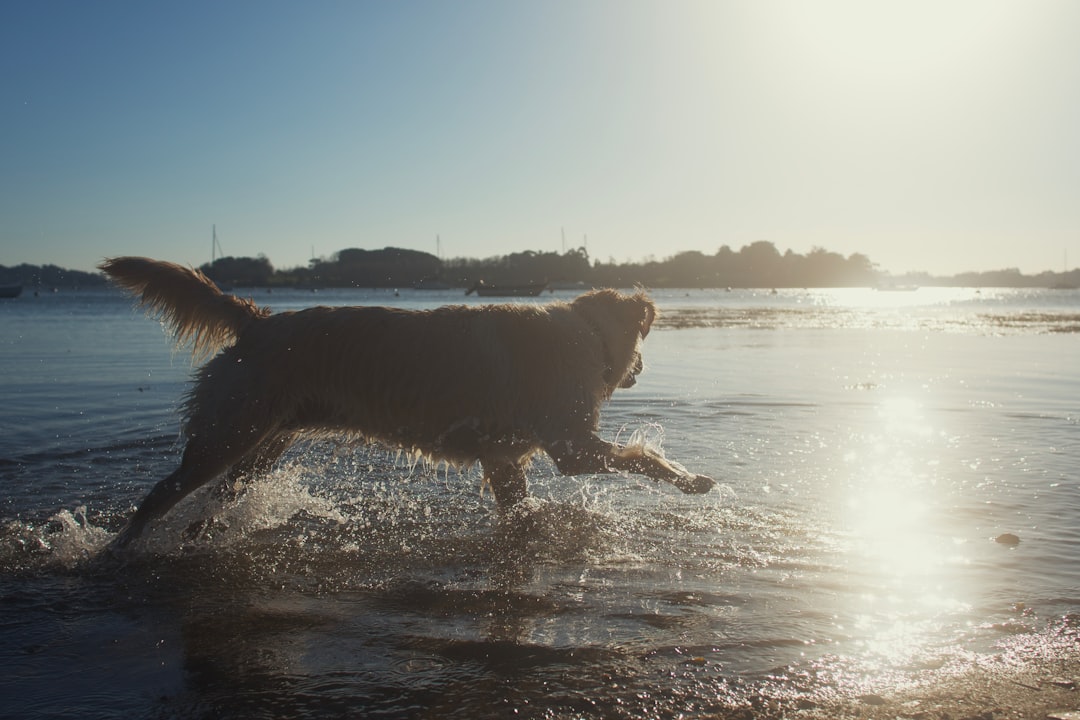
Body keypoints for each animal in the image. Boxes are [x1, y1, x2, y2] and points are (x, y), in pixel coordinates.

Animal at [99, 255, 708, 548]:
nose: (640, 370)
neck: (585, 333)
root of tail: (258, 320)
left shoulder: (504, 459)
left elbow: (521, 509)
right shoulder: (572, 446)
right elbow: (643, 458)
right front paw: (691, 479)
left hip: (260, 444)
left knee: (212, 503)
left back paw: (197, 539)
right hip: (227, 432)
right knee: (158, 496)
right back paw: (113, 552)